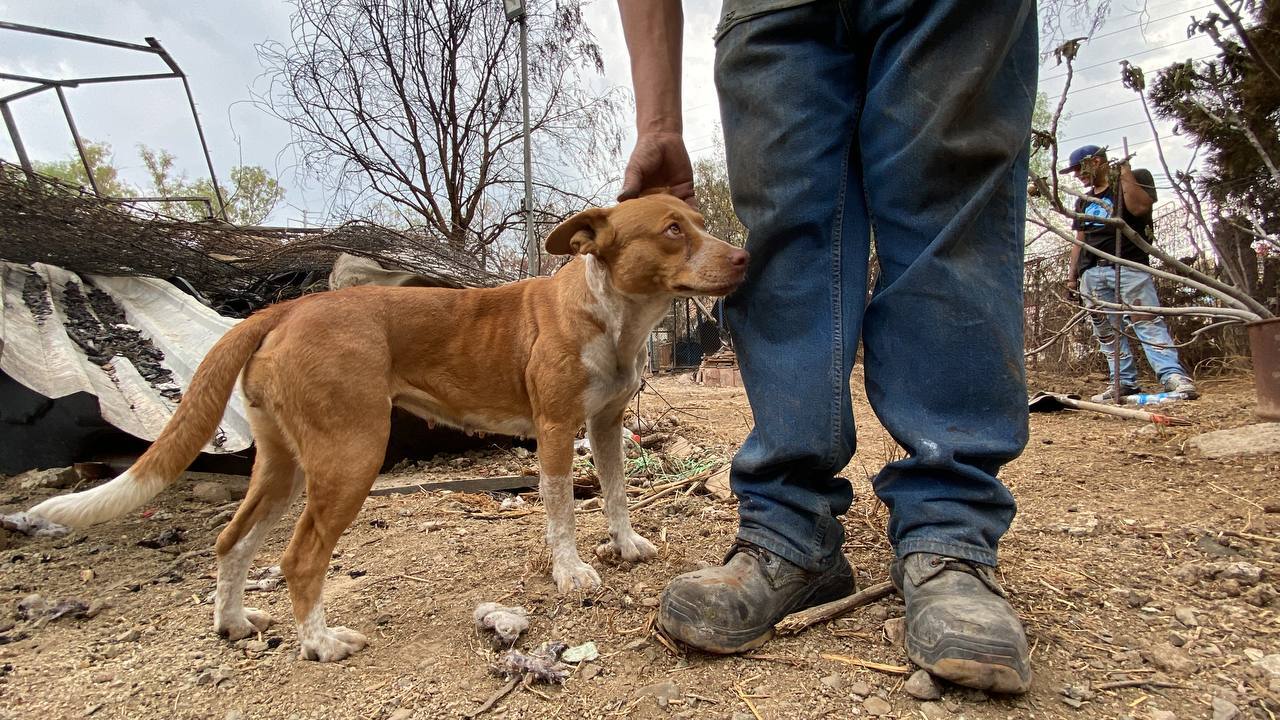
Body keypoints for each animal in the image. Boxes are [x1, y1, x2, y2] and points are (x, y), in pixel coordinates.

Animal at [27, 193, 747, 661]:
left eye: (699, 224)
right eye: (673, 230)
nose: (744, 258)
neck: (614, 315)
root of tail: (285, 309)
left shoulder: (604, 425)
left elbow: (618, 495)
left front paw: (625, 547)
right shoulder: (553, 430)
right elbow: (562, 512)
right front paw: (570, 573)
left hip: (285, 467)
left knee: (232, 543)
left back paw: (233, 624)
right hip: (350, 457)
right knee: (299, 557)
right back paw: (320, 644)